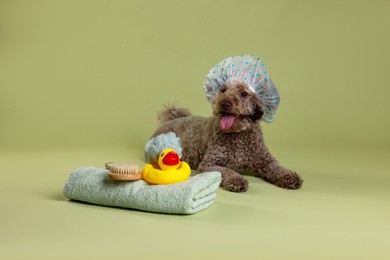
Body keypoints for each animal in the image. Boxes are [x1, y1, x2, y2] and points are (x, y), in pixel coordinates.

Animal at [151, 80, 304, 192]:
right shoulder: (209, 164)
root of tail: (171, 119)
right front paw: (237, 180)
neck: (238, 135)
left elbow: (277, 168)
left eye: (244, 93)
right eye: (223, 90)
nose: (224, 103)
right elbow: (226, 171)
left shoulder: (266, 161)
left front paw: (290, 176)